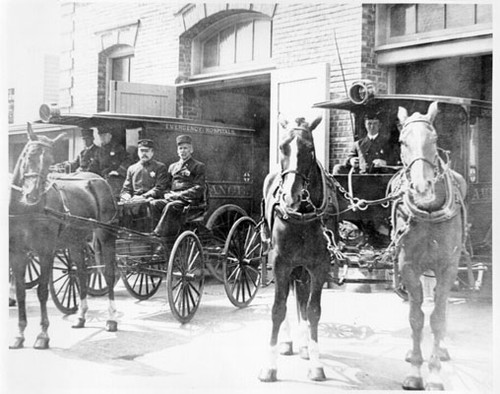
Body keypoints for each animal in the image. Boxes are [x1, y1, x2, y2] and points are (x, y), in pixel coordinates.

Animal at [9, 123, 118, 348]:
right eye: (29, 155)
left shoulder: (45, 252)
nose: (32, 195)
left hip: (106, 236)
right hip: (75, 242)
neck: (26, 210)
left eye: (50, 160)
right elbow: (21, 290)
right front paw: (19, 335)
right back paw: (81, 316)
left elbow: (42, 291)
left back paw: (112, 319)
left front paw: (42, 335)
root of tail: (99, 179)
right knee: (82, 273)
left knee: (109, 274)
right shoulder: (16, 252)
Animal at [258, 117, 340, 382]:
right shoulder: (281, 264)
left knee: (302, 299)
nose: (290, 195)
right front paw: (269, 366)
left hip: (303, 268)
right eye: (282, 147)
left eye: (310, 149)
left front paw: (316, 364)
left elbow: (313, 310)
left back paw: (304, 345)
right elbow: (278, 309)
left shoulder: (319, 266)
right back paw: (287, 343)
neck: (302, 215)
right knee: (287, 299)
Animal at [392, 102, 466, 390]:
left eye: (433, 139)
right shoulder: (408, 265)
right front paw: (415, 371)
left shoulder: (448, 267)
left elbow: (437, 318)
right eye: (402, 141)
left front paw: (433, 374)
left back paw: (442, 349)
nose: (422, 188)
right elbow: (416, 317)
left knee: (440, 304)